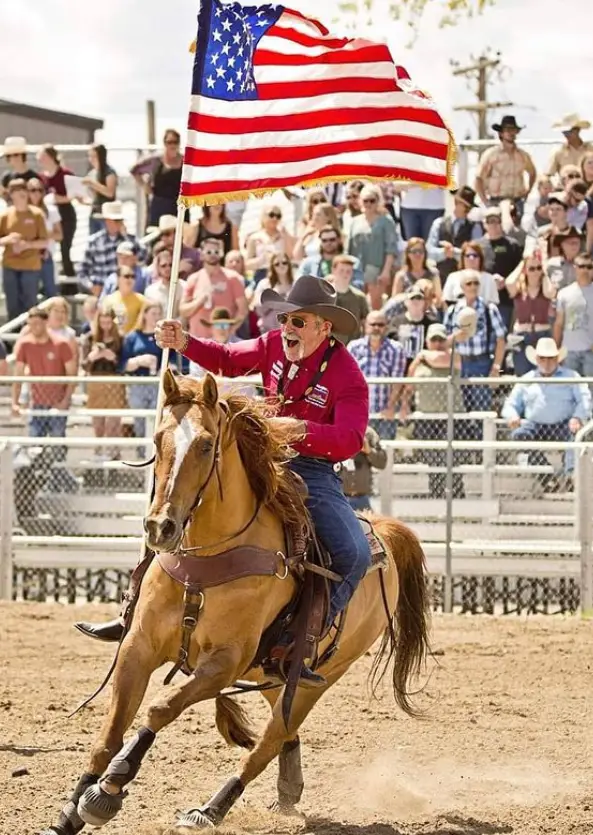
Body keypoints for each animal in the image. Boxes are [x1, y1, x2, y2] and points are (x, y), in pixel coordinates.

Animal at [42, 374, 430, 835]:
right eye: (157, 439)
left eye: (206, 444)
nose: (160, 527)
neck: (206, 560)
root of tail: (382, 530)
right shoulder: (138, 647)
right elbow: (109, 735)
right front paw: (69, 812)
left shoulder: (224, 662)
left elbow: (159, 708)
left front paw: (108, 789)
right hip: (271, 672)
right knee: (280, 734)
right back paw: (288, 788)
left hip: (317, 678)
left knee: (267, 742)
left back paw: (210, 810)